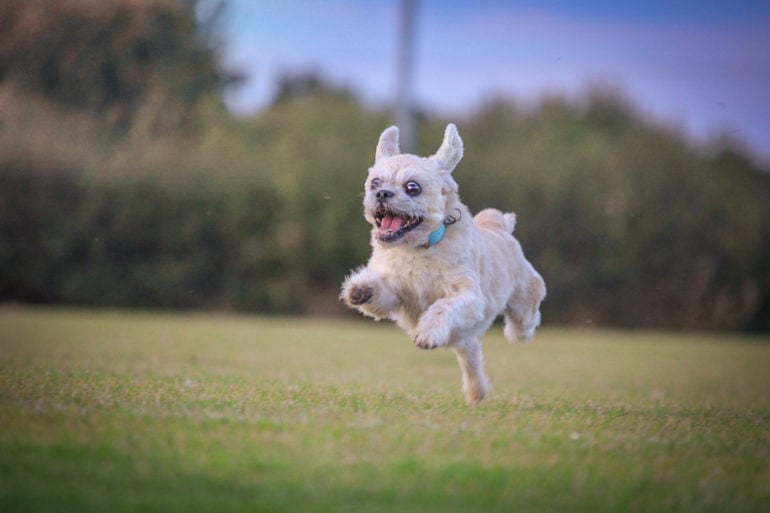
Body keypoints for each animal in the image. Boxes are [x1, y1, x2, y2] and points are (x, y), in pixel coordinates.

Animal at [340, 124, 544, 404]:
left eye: (412, 187)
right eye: (375, 182)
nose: (381, 193)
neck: (418, 247)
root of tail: (497, 225)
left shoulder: (470, 298)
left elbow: (442, 306)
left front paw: (427, 333)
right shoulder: (395, 294)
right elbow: (379, 294)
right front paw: (360, 288)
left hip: (523, 301)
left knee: (526, 319)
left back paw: (515, 333)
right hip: (464, 338)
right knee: (471, 355)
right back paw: (476, 392)